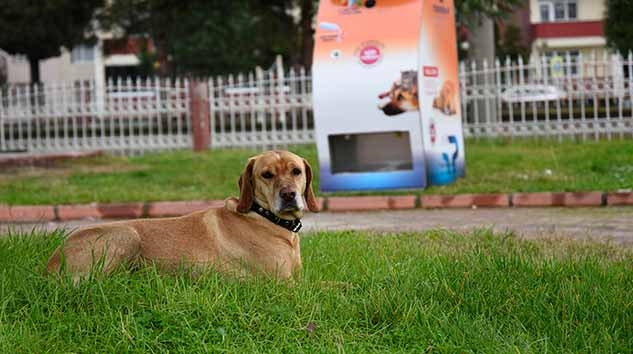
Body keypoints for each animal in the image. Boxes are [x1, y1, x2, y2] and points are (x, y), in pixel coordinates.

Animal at [47, 151, 318, 280]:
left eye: (296, 171)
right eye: (266, 175)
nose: (289, 195)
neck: (264, 216)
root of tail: (52, 262)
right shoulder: (283, 284)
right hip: (127, 234)